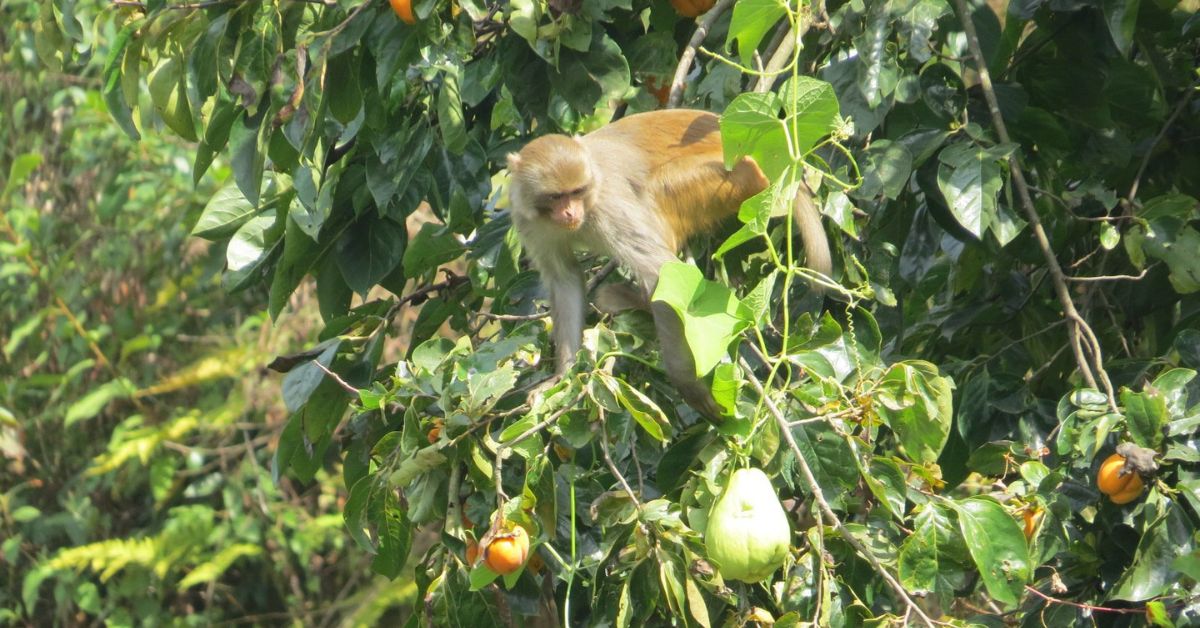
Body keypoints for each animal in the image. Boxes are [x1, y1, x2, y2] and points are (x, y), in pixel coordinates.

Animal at [501, 110, 830, 420]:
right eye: (556, 196)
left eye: (577, 191)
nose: (570, 213)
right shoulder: (527, 219)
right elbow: (564, 278)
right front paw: (563, 375)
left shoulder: (608, 209)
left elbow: (660, 271)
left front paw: (686, 382)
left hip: (731, 178)